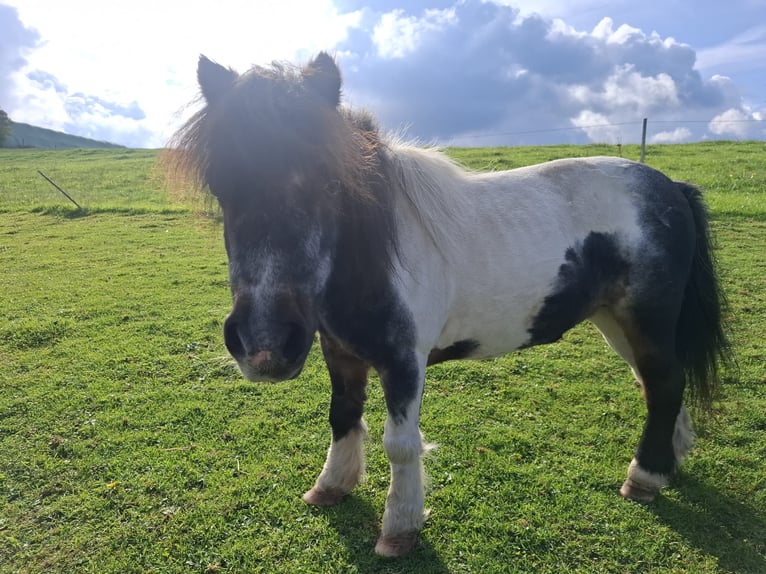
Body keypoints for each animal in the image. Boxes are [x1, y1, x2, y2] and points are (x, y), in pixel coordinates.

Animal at [170, 52, 730, 557]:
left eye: (329, 183)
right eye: (221, 187)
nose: (263, 344)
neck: (371, 255)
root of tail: (669, 187)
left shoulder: (404, 362)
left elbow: (401, 445)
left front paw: (399, 529)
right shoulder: (339, 352)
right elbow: (342, 415)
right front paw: (331, 486)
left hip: (646, 317)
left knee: (664, 381)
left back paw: (645, 477)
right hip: (614, 320)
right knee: (657, 383)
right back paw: (672, 458)